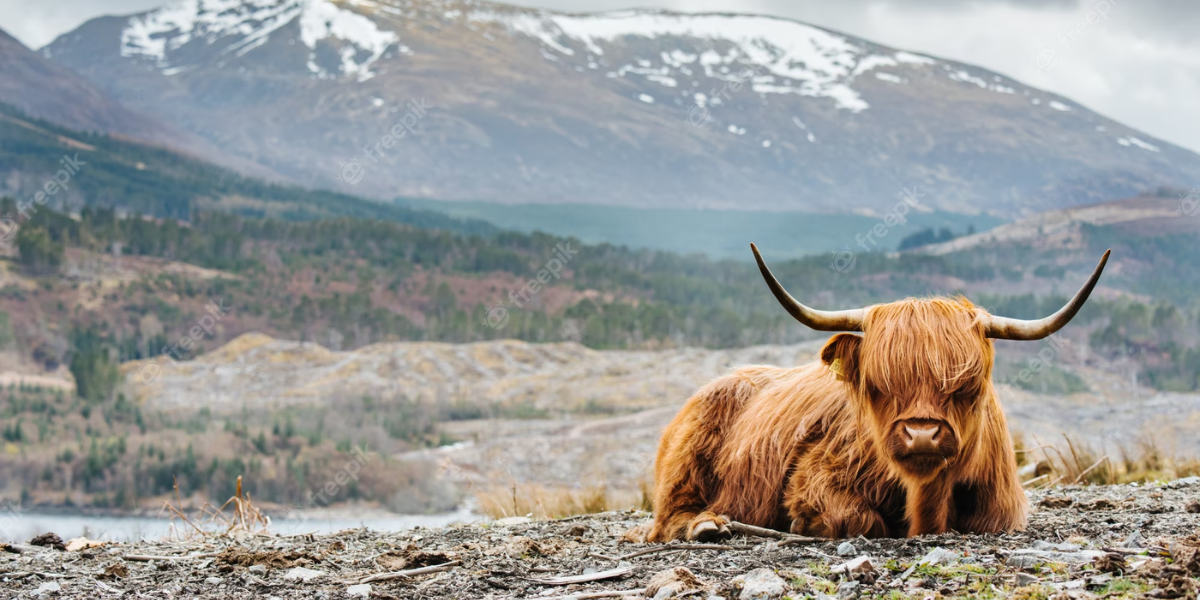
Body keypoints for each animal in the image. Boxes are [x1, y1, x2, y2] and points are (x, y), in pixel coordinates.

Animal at [643, 246, 1108, 542]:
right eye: (879, 385)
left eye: (967, 385)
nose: (922, 435)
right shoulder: (815, 476)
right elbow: (860, 519)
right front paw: (804, 526)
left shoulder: (1002, 510)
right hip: (688, 459)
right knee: (667, 517)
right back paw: (707, 525)